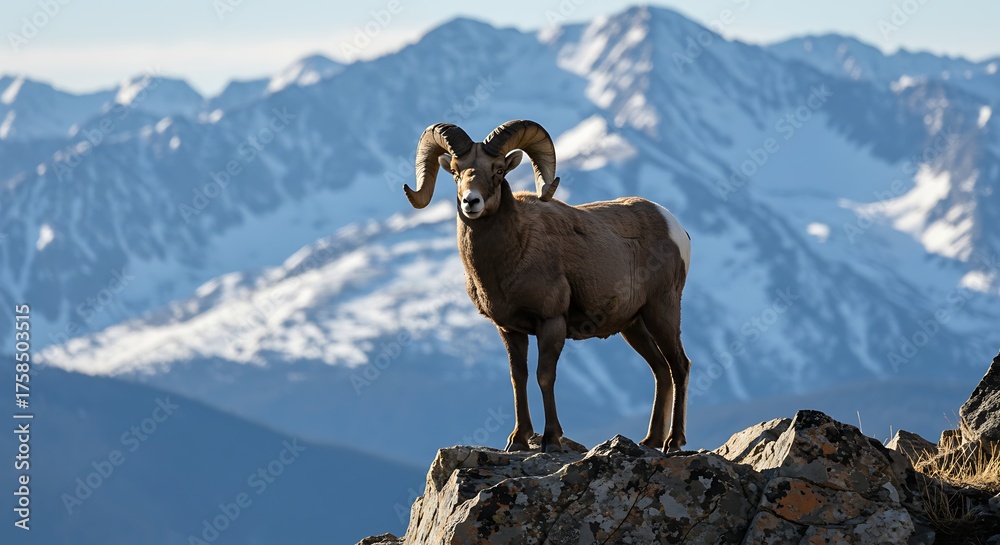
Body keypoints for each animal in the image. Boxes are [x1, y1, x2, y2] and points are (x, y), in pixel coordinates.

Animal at [404, 120, 692, 453]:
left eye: (498, 170)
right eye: (455, 171)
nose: (471, 202)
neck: (513, 254)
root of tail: (675, 227)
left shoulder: (551, 323)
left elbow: (545, 376)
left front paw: (551, 439)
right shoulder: (509, 330)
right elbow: (519, 377)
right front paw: (518, 439)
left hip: (662, 311)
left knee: (679, 366)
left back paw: (673, 442)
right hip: (634, 325)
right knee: (660, 370)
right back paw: (651, 440)